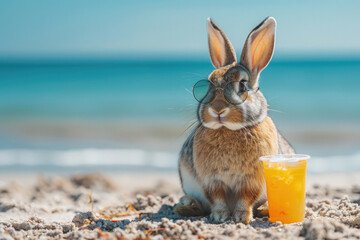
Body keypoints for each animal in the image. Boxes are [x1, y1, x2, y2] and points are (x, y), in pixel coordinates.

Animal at [174, 17, 296, 225]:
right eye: (208, 85)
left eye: (243, 86)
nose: (217, 110)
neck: (229, 129)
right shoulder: (212, 180)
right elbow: (217, 197)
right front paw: (220, 216)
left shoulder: (251, 180)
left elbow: (246, 197)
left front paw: (241, 217)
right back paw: (187, 205)